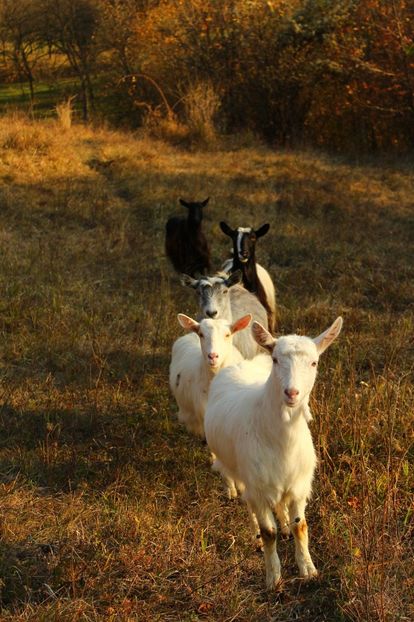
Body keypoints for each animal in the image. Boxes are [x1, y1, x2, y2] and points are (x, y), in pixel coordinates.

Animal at [205, 316, 342, 588]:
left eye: (314, 362)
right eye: (276, 359)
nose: (292, 393)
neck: (282, 441)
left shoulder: (299, 485)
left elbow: (302, 526)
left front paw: (308, 569)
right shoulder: (257, 487)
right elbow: (269, 532)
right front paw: (273, 578)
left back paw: (285, 525)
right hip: (238, 471)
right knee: (249, 504)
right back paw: (256, 538)